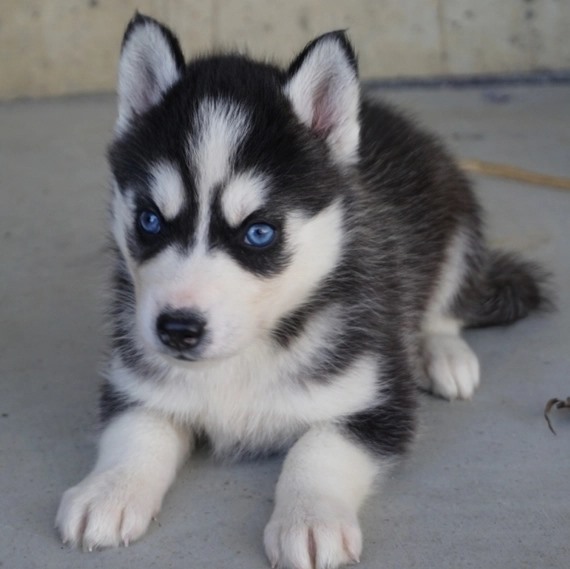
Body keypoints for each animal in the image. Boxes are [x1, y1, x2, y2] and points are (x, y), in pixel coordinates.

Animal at [55, 13, 544, 568]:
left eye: (258, 232)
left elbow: (316, 450)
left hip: (456, 219)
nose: (177, 329)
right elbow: (137, 431)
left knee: (445, 305)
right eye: (150, 220)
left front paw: (311, 520)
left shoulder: (375, 400)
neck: (244, 355)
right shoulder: (136, 383)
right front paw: (108, 490)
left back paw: (443, 355)